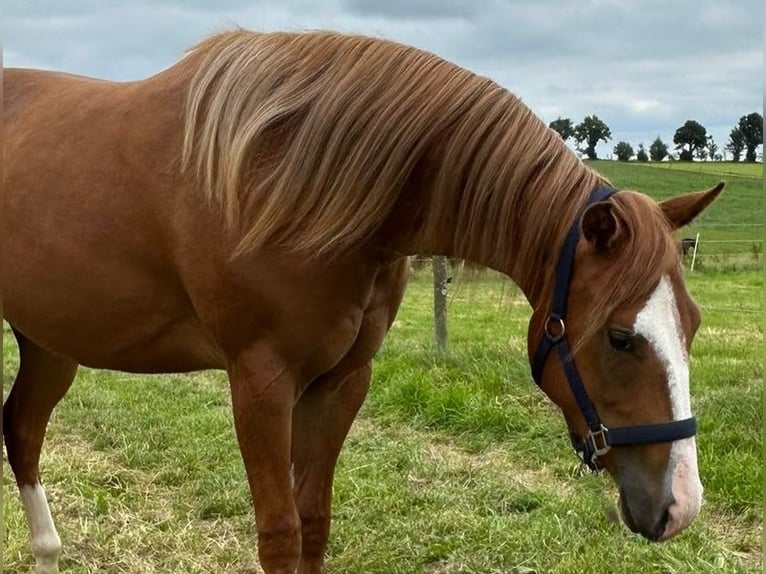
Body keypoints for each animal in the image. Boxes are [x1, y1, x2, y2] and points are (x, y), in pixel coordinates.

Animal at [3, 30, 723, 574]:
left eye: (692, 325)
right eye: (621, 337)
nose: (681, 506)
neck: (296, 178)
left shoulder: (341, 382)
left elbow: (314, 522)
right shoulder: (260, 384)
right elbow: (280, 534)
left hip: (49, 341)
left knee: (23, 430)